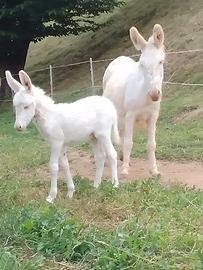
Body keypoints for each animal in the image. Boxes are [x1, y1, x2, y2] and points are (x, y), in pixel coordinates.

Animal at [5, 69, 119, 202]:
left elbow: (53, 166)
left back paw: (115, 185)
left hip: (104, 134)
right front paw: (70, 192)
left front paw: (51, 197)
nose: (18, 127)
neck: (48, 116)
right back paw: (96, 186)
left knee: (112, 154)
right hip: (93, 137)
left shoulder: (56, 142)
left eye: (26, 106)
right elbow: (65, 165)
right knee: (100, 157)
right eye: (15, 107)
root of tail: (110, 104)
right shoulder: (61, 144)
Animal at [103, 24, 165, 176]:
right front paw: (125, 170)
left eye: (161, 62)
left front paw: (154, 170)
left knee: (122, 133)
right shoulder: (130, 115)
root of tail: (120, 57)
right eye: (141, 64)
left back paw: (122, 157)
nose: (154, 94)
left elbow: (151, 144)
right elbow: (129, 142)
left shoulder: (153, 117)